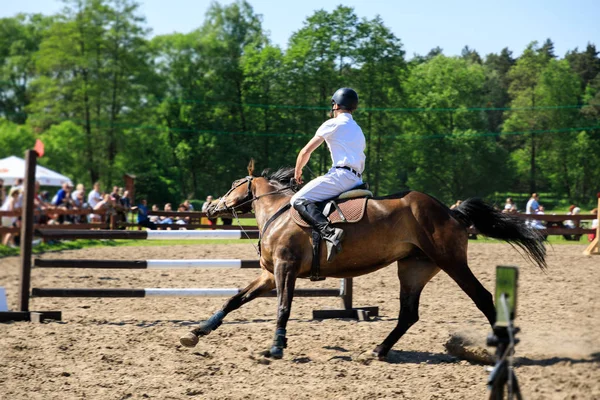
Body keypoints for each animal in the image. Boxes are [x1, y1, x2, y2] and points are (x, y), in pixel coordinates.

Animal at [179, 166, 548, 360]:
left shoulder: (285, 270)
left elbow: (283, 307)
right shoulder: (270, 275)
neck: (279, 212)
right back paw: (380, 348)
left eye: (233, 185)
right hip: (413, 268)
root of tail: (451, 212)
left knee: (483, 298)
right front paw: (196, 332)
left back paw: (504, 347)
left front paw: (276, 346)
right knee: (408, 314)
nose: (210, 208)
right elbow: (234, 299)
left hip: (451, 262)